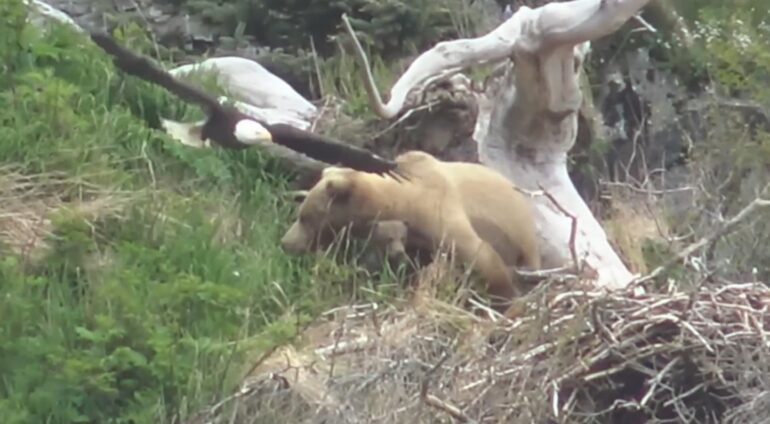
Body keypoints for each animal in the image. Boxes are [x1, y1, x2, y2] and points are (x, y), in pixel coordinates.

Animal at [280, 150, 541, 312]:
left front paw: (508, 300)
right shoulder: (415, 239)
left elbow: (480, 255)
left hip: (521, 238)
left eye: (304, 217)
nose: (285, 242)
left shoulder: (439, 209)